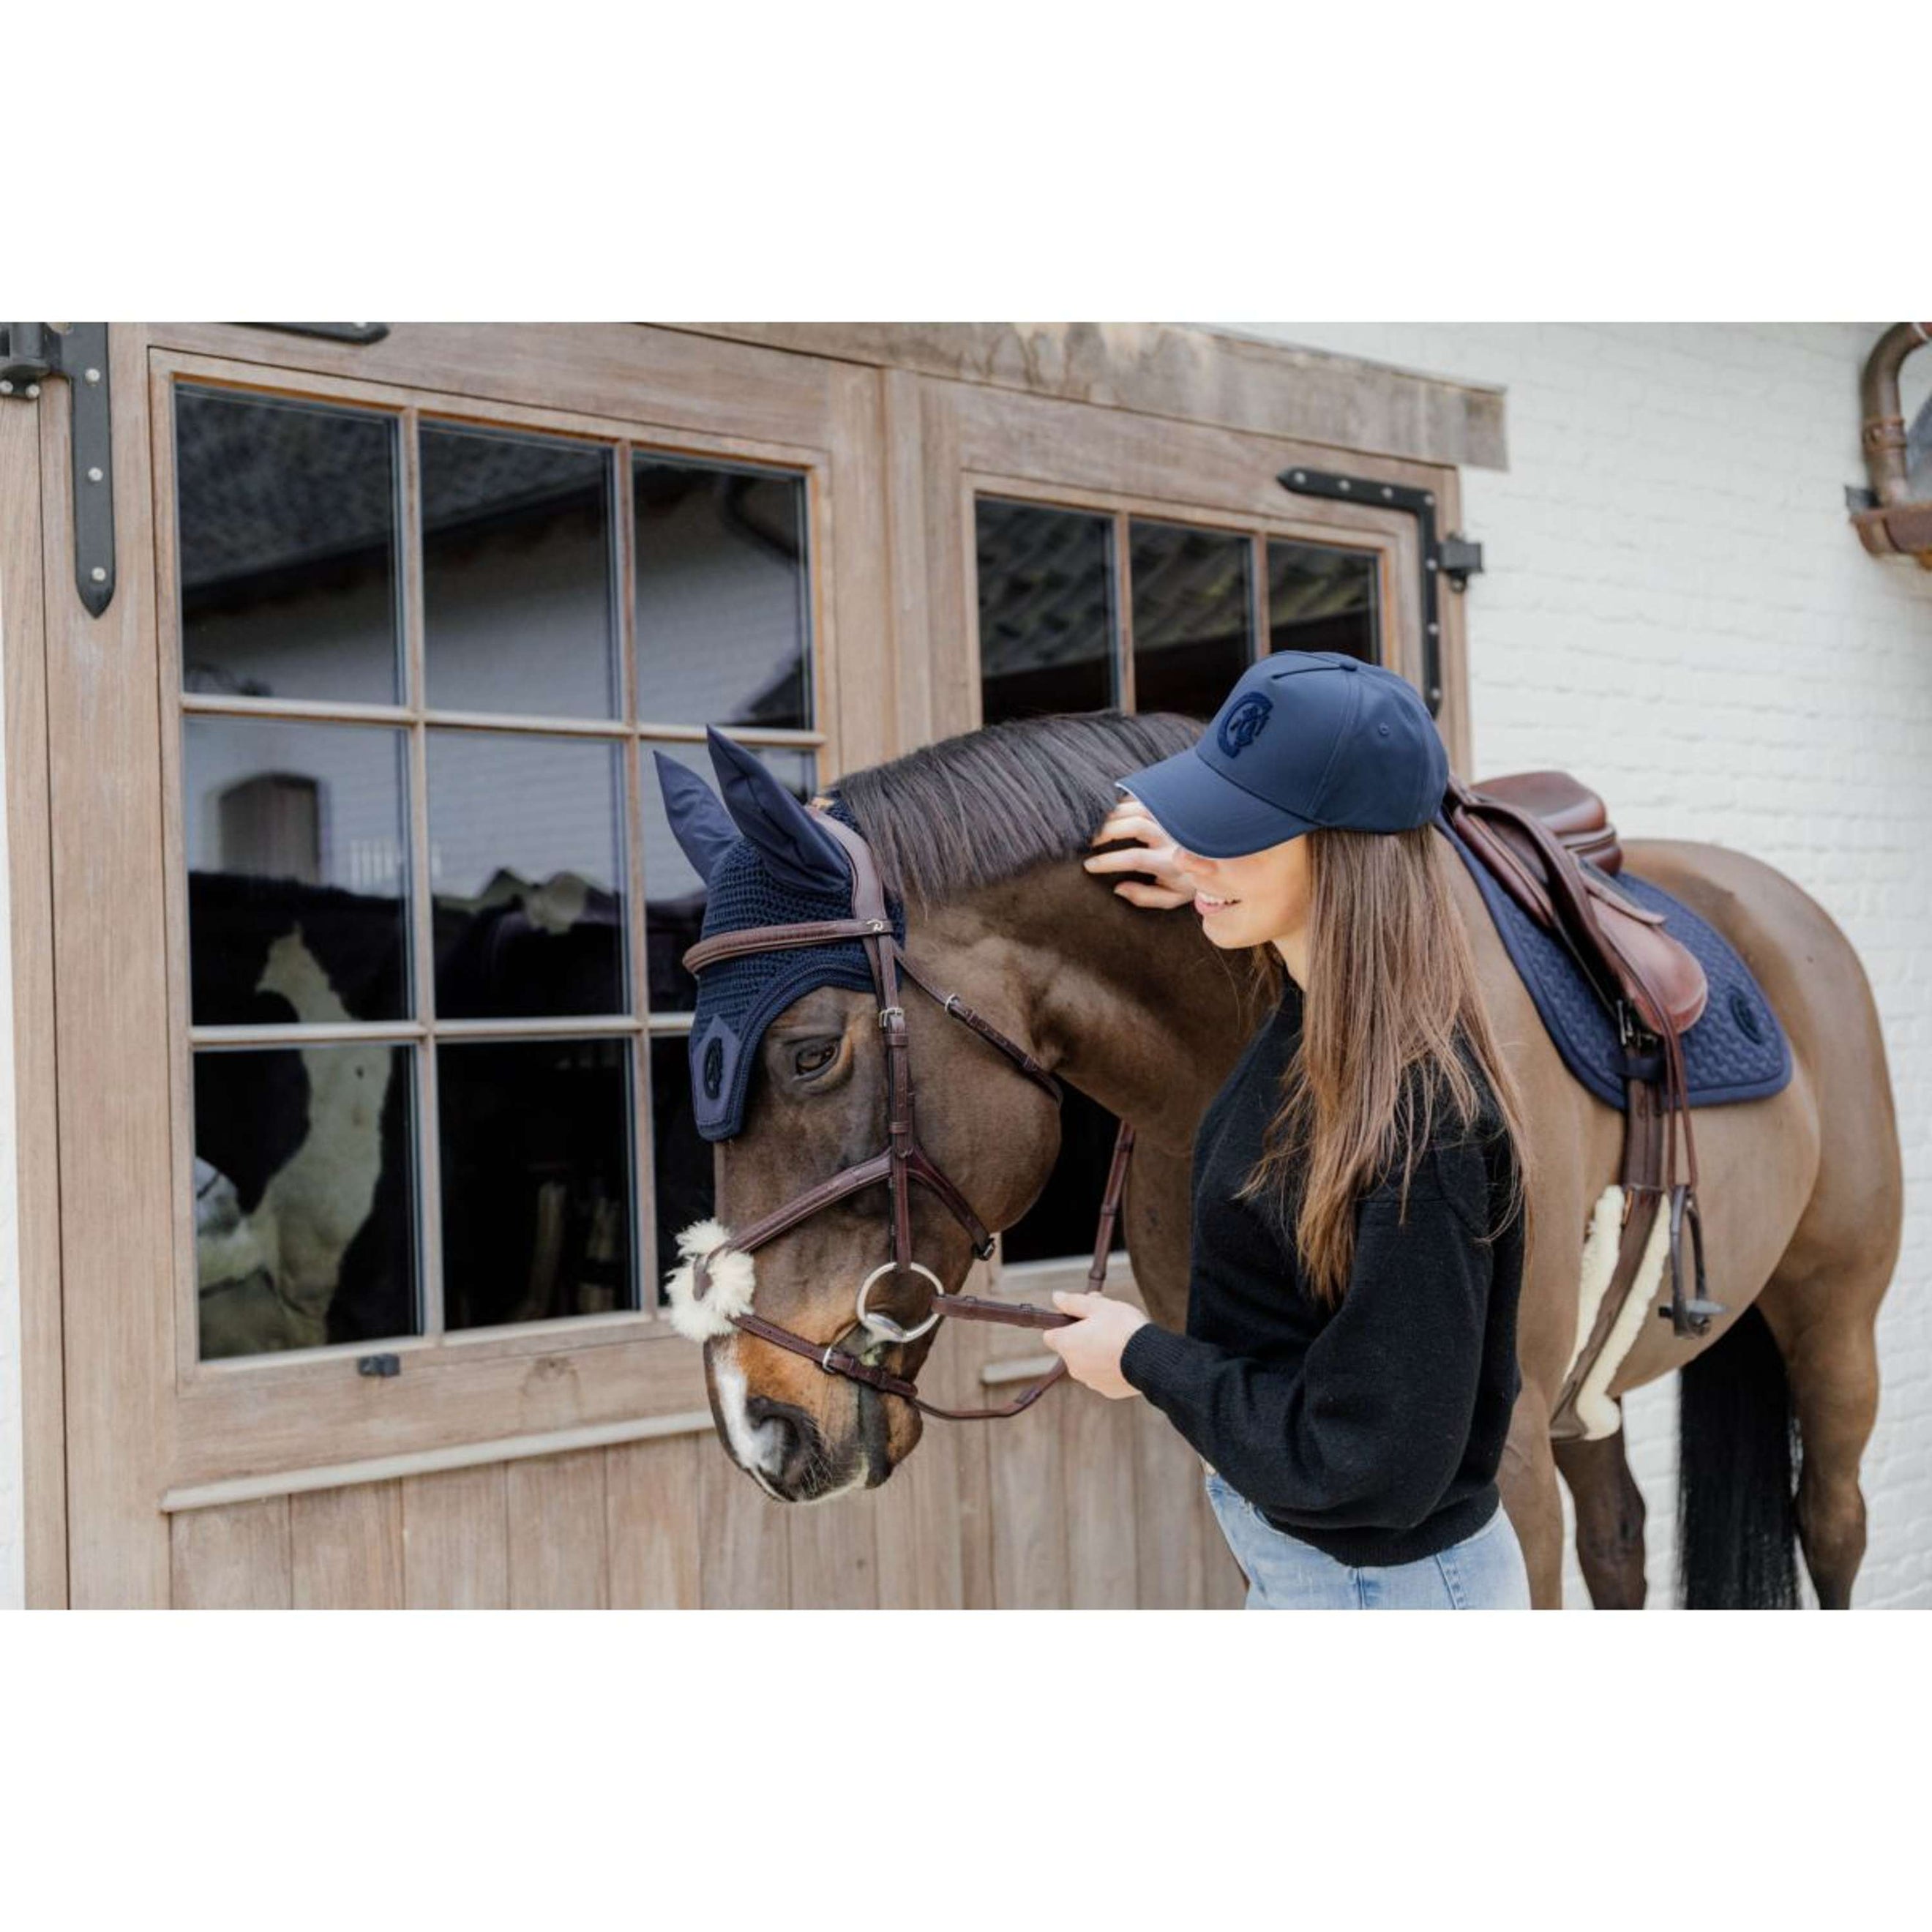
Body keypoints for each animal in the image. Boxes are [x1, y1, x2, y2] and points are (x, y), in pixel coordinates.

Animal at [676, 711, 1901, 1615]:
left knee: (1833, 1526)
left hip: (1834, 1325)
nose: (755, 1422)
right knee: (1622, 1541)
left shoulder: (1494, 1461)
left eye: (809, 1053)